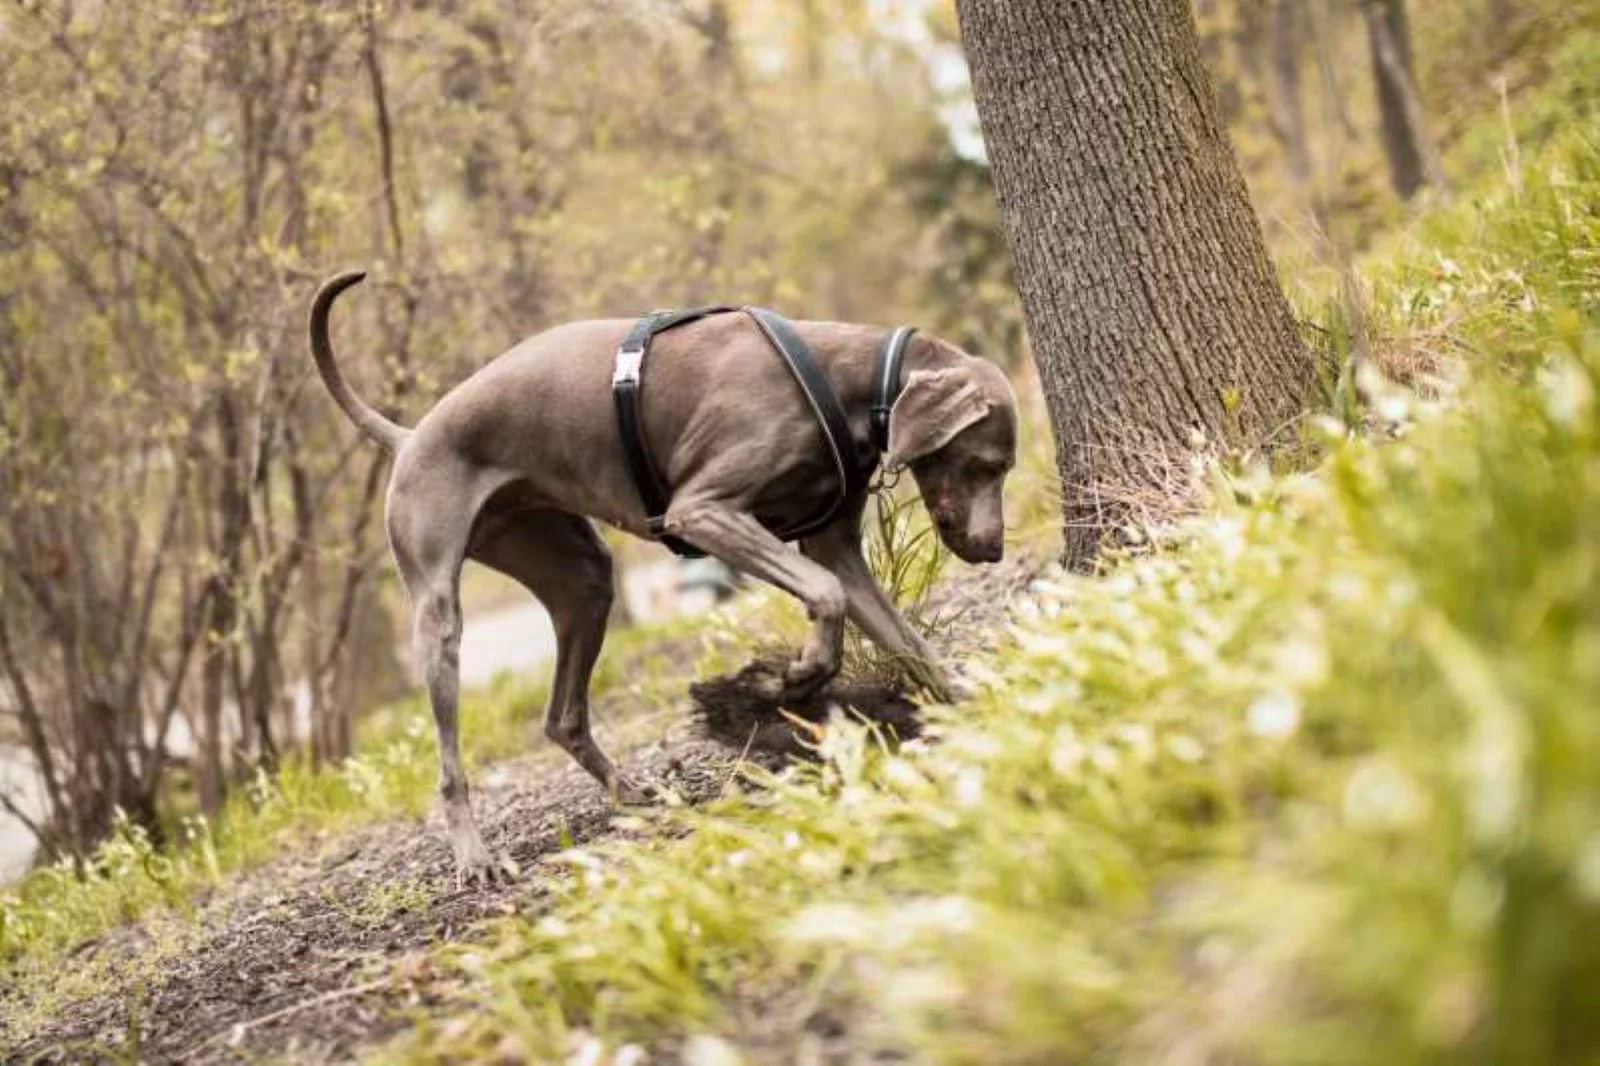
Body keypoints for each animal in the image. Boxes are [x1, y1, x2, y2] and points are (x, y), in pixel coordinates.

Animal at [305, 272, 1017, 877]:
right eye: (987, 464)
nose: (993, 550)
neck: (846, 382)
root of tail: (409, 437)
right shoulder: (701, 510)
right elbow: (826, 593)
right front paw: (798, 675)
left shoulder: (831, 543)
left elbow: (905, 640)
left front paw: (973, 711)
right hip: (438, 609)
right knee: (450, 758)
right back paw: (475, 855)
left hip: (579, 576)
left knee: (563, 715)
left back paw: (631, 791)